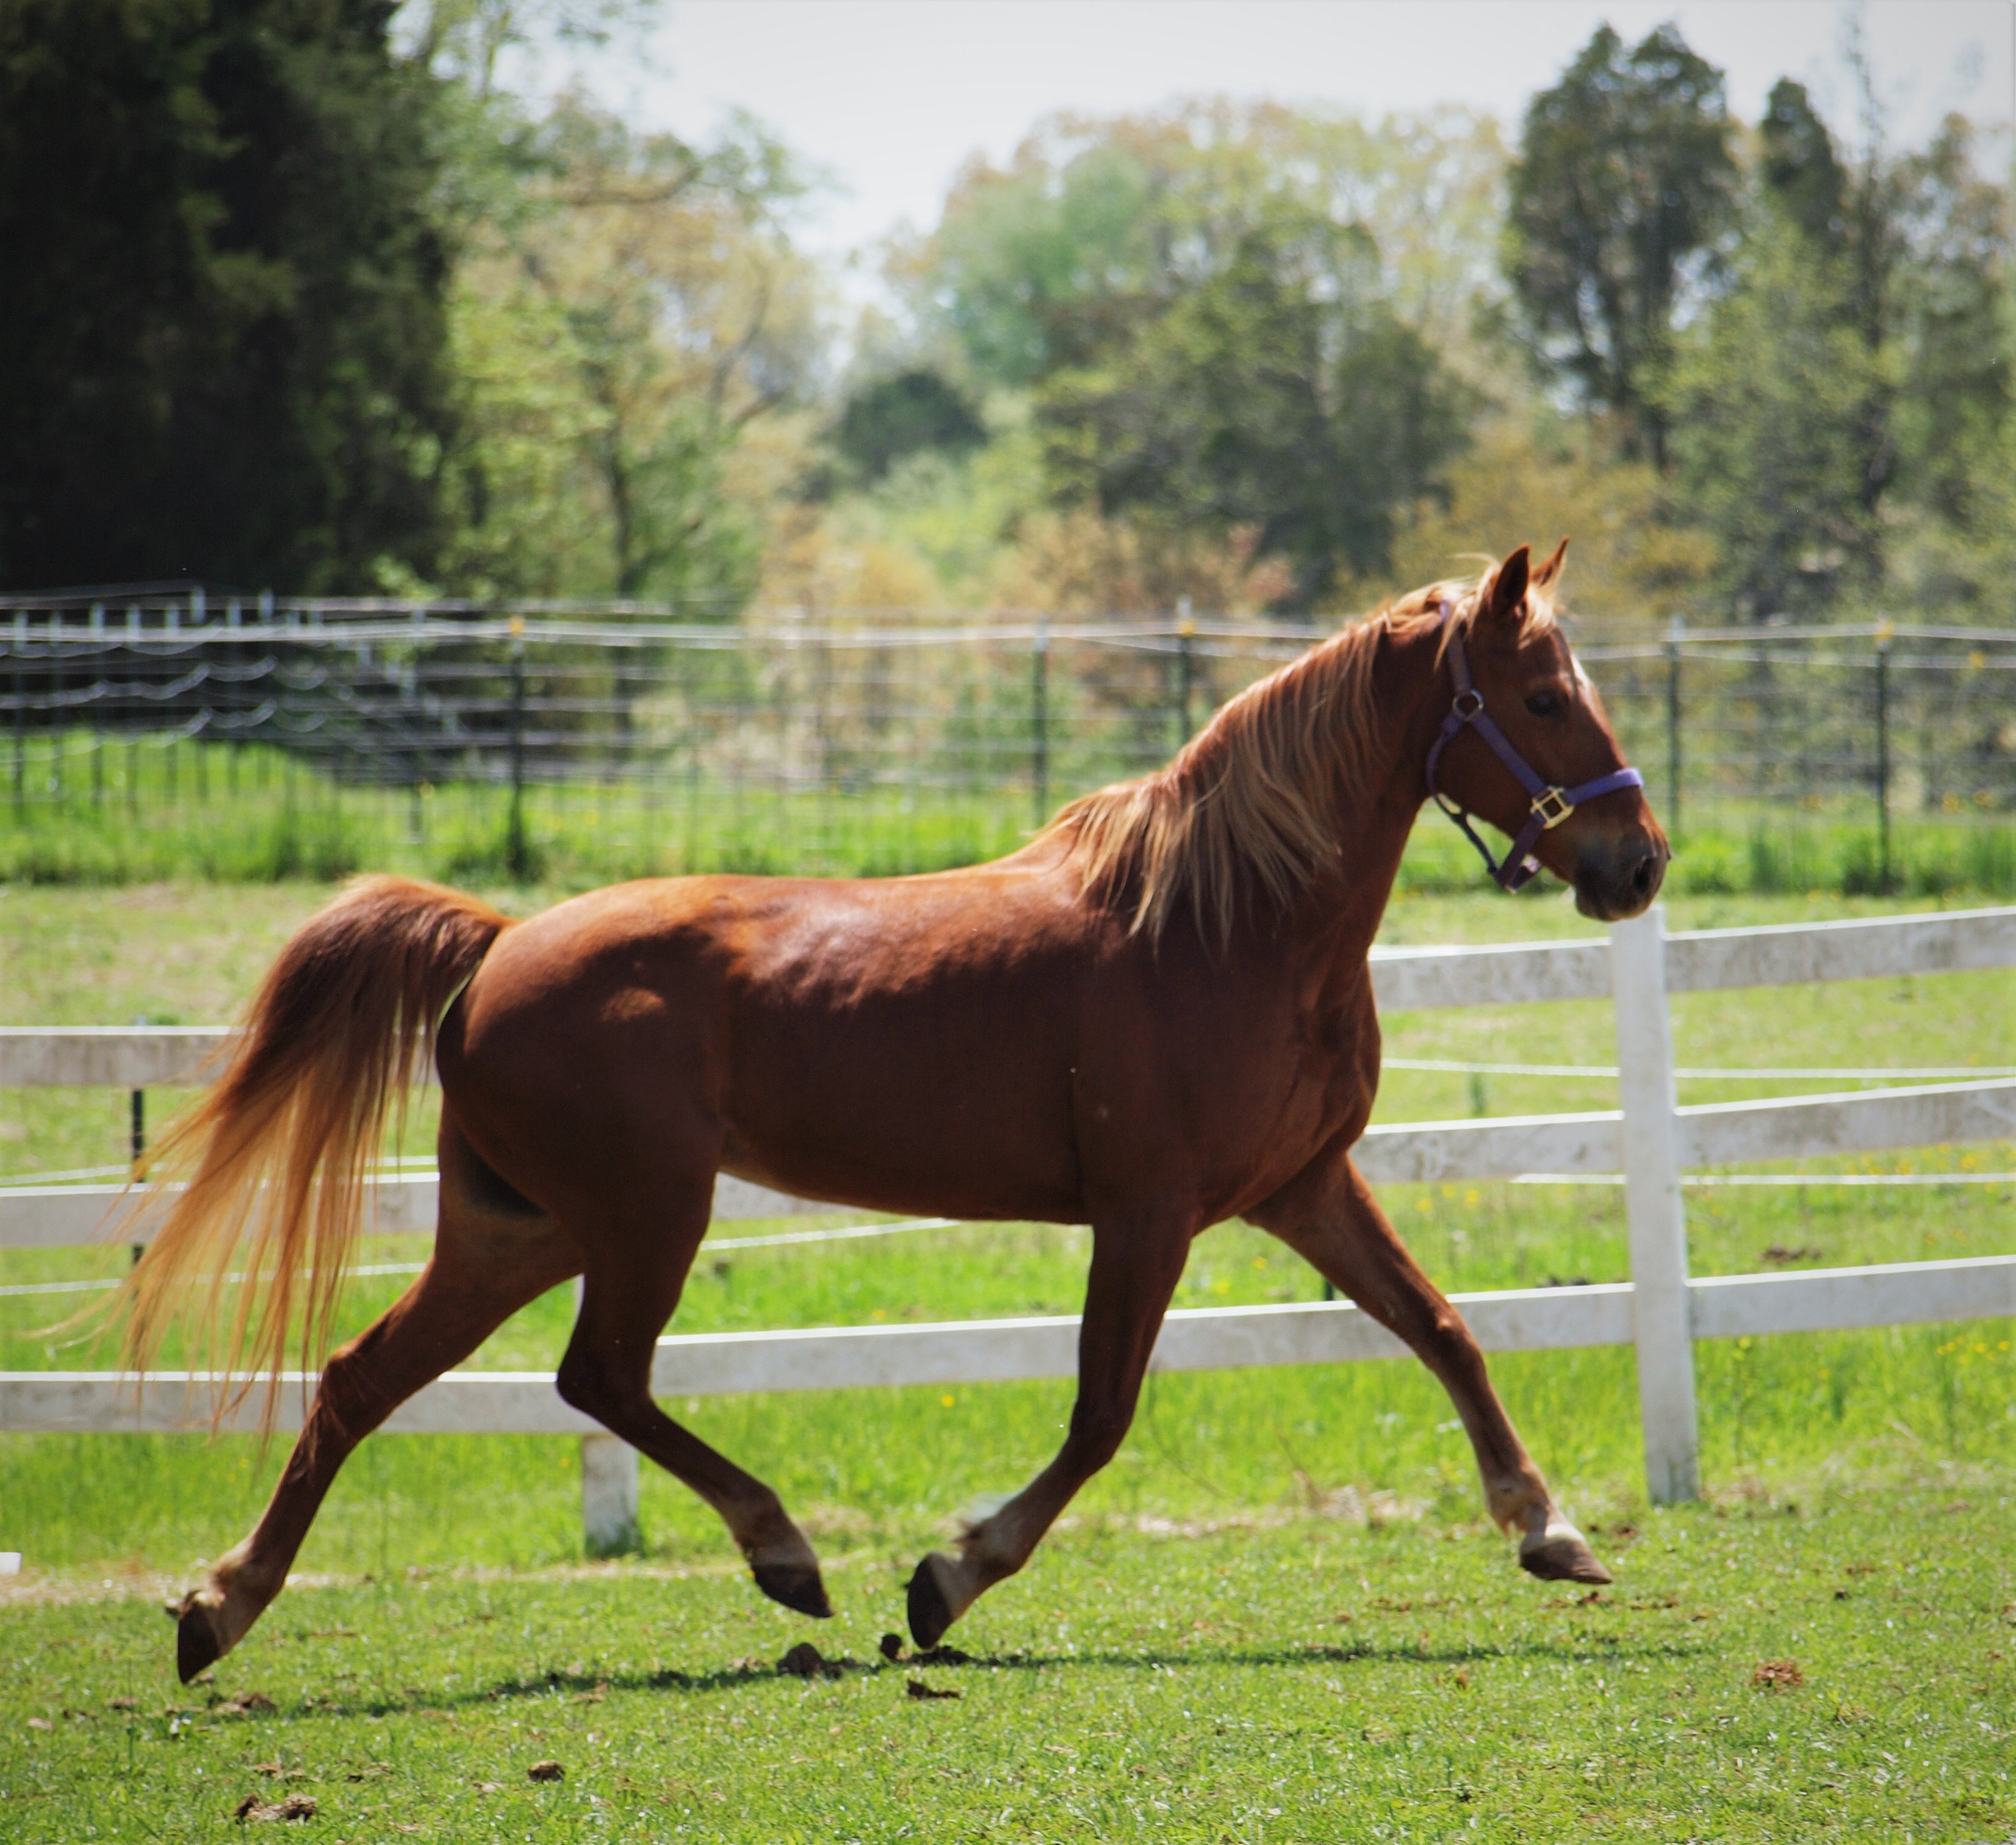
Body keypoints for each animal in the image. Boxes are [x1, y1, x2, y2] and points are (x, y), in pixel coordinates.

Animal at [123, 541, 1667, 1683]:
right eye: (1540, 697)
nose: (1637, 858)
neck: (1222, 923)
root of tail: (497, 943)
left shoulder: (1305, 1185)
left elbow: (1445, 1329)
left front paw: (1551, 1528)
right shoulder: (1148, 1209)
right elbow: (1101, 1411)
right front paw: (944, 1578)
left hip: (519, 1230)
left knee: (361, 1378)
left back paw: (219, 1606)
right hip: (641, 1216)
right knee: (597, 1375)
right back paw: (783, 1552)